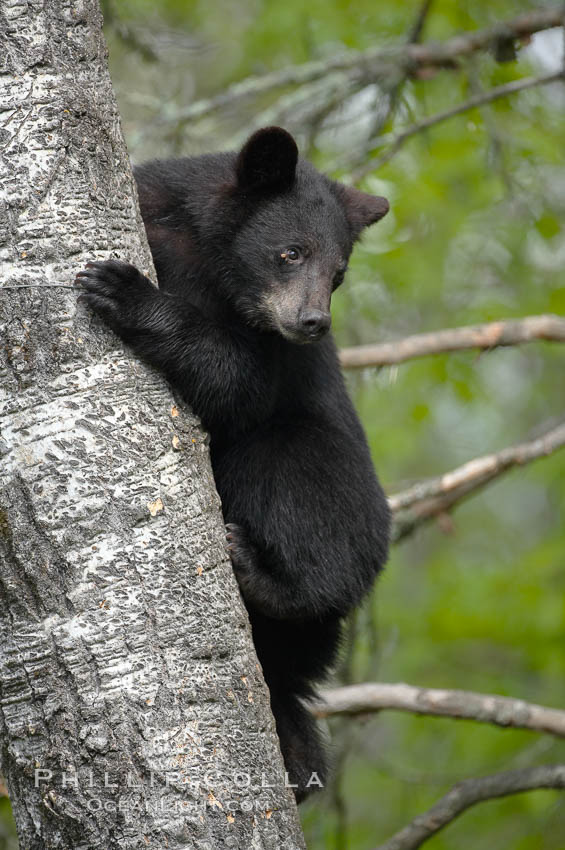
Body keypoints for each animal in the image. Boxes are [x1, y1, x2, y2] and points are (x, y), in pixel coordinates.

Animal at [77, 126, 390, 800]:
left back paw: (261, 571)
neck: (204, 254)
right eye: (290, 252)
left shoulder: (269, 352)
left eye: (340, 273)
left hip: (331, 497)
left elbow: (237, 384)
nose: (312, 321)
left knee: (294, 477)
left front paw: (126, 292)